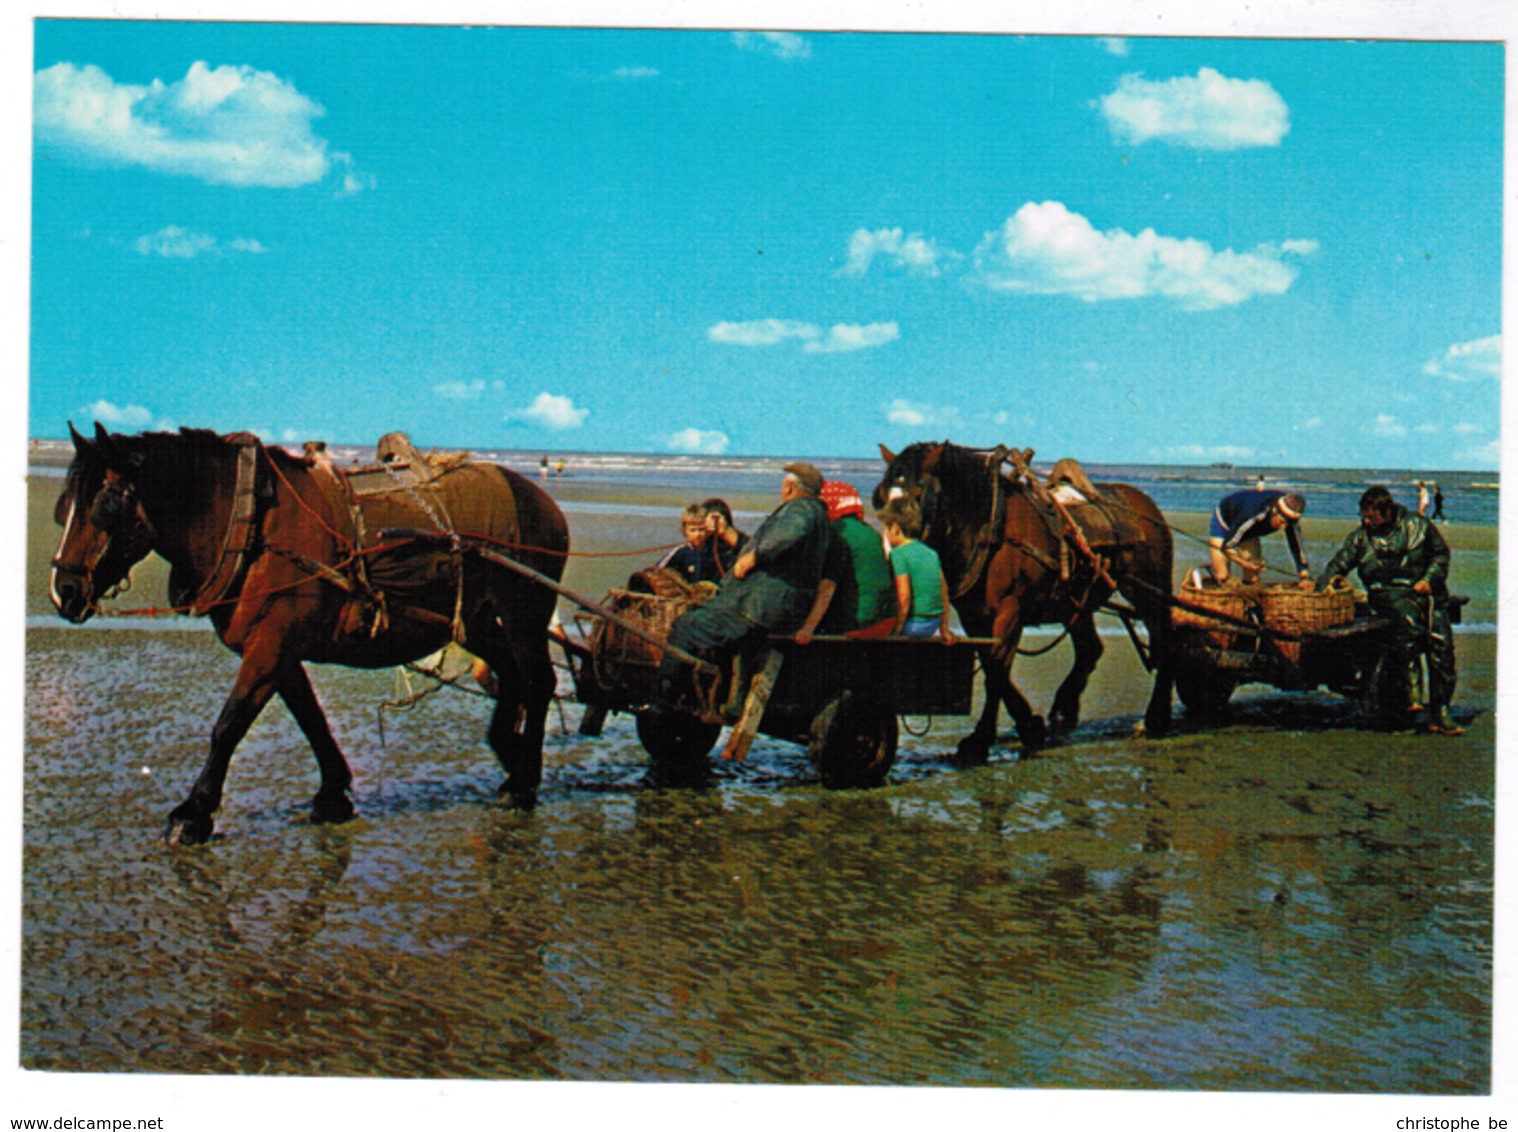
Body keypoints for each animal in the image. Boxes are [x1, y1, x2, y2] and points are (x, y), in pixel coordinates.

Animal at [50, 424, 570, 837]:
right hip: (473, 620)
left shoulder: (270, 646)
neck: (251, 525)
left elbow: (229, 725)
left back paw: (525, 781)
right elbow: (310, 717)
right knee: (511, 675)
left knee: (539, 682)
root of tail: (542, 501)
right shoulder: (276, 648)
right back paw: (510, 755)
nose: (64, 592)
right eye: (62, 509)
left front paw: (194, 812)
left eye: (106, 505)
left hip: (524, 612)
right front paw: (333, 793)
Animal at [874, 440, 1177, 758]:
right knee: (1090, 649)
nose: (890, 547)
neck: (988, 526)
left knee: (1165, 641)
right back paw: (1064, 710)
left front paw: (980, 739)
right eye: (880, 496)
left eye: (919, 494)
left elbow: (997, 669)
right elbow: (993, 664)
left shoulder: (1011, 609)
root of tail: (1147, 506)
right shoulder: (974, 615)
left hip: (1148, 590)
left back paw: (1155, 718)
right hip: (1076, 601)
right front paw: (1029, 725)